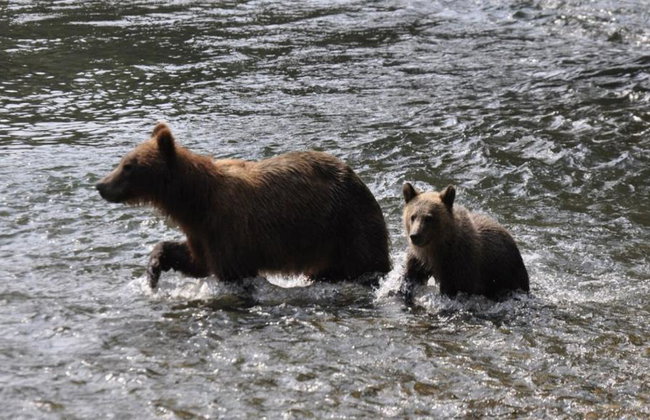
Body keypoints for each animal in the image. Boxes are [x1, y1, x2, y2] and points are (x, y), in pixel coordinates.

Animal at [96, 122, 391, 289]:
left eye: (128, 166)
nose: (100, 185)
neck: (196, 201)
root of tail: (360, 182)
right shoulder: (202, 232)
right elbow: (196, 260)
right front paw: (154, 269)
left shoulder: (228, 227)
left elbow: (230, 272)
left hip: (347, 227)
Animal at [399, 182, 529, 304]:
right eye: (413, 216)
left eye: (428, 218)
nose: (415, 236)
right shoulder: (418, 260)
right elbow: (411, 276)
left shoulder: (458, 264)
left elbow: (454, 289)